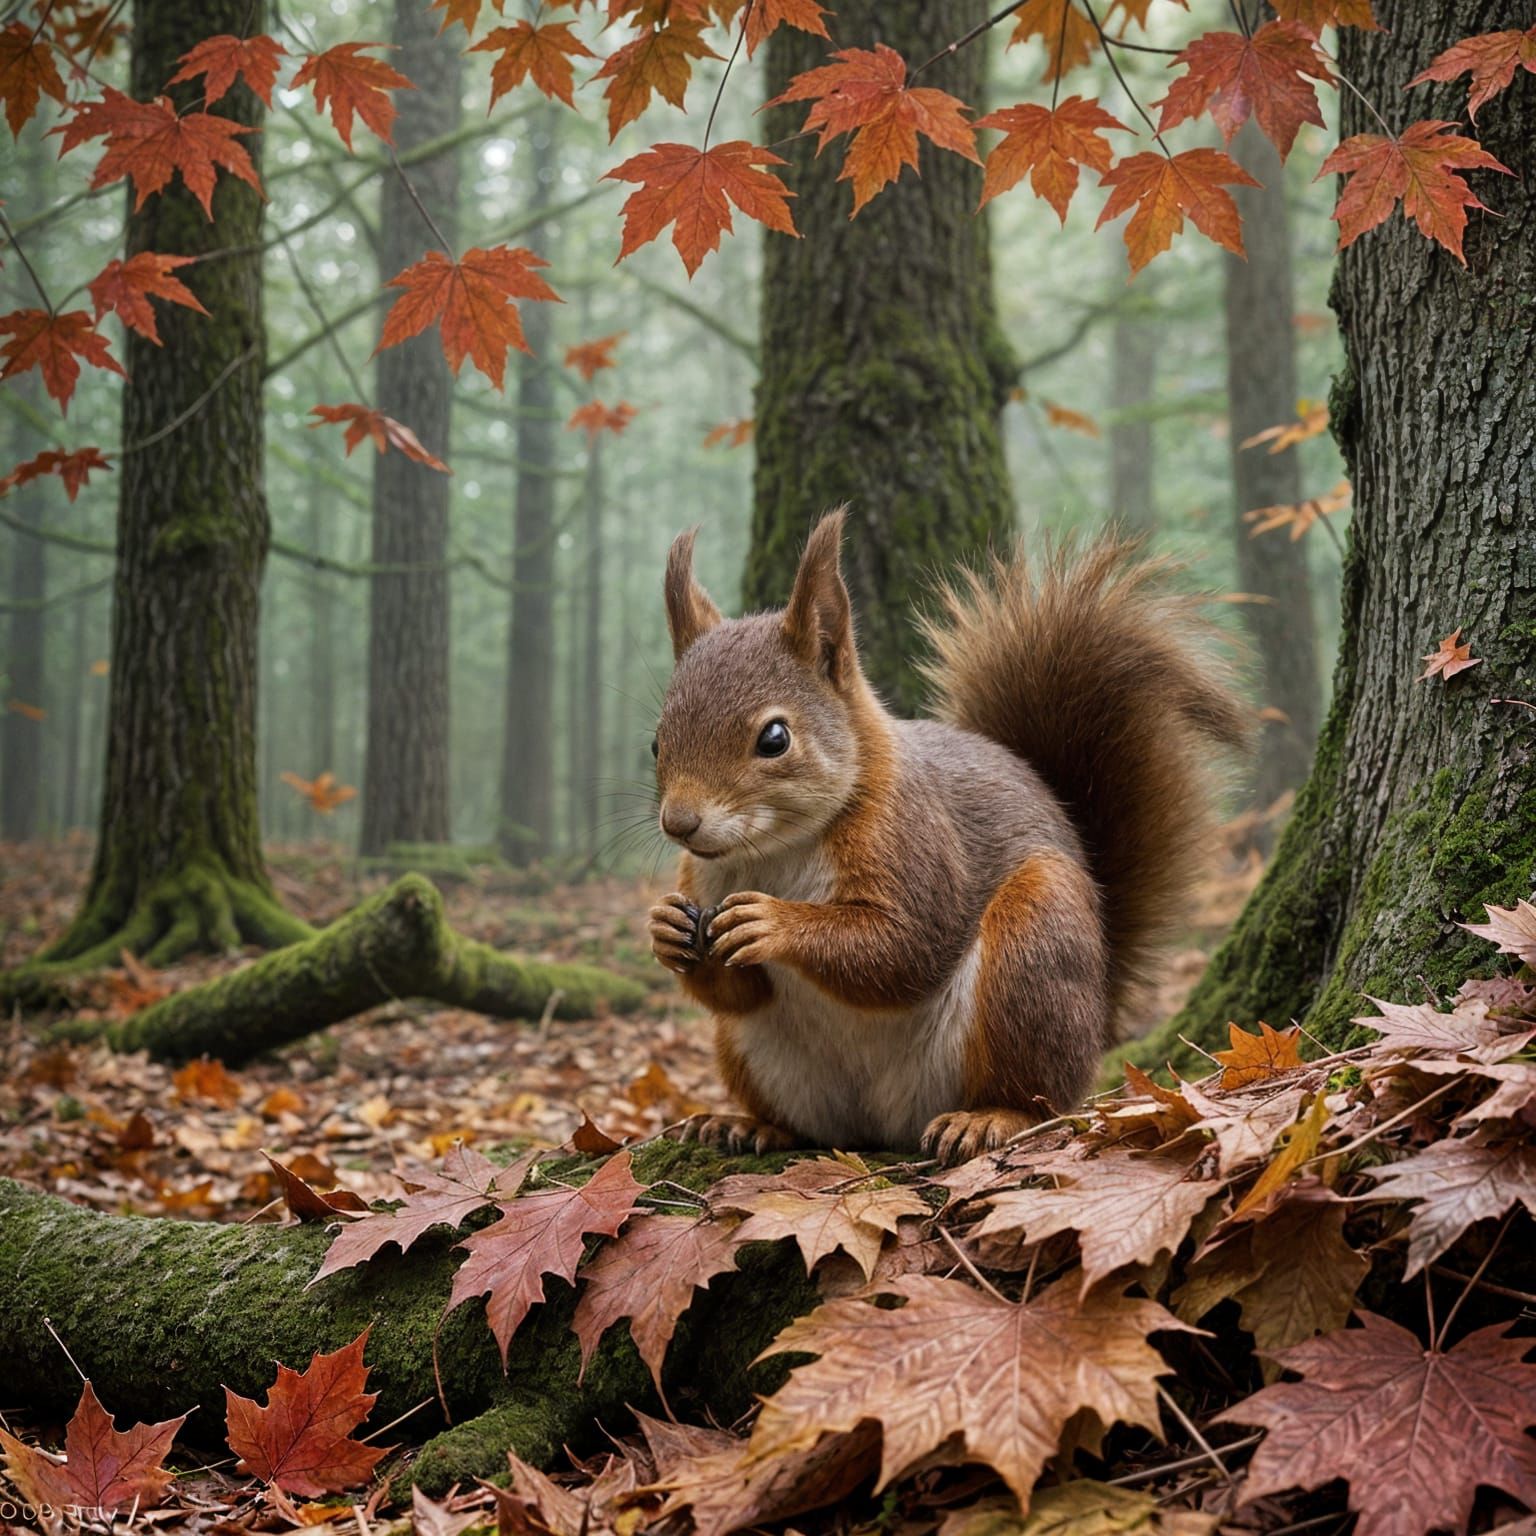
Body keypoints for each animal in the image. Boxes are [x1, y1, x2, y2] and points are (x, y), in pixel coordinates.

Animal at [647, 509, 1247, 1164]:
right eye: (655, 742)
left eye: (774, 738)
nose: (679, 823)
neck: (774, 850)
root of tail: (885, 1126)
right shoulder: (704, 880)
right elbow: (740, 992)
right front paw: (666, 929)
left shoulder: (916, 838)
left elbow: (905, 946)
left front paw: (773, 922)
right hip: (751, 1056)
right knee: (803, 1118)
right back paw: (750, 1125)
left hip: (1033, 952)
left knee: (1039, 1096)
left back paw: (990, 1119)